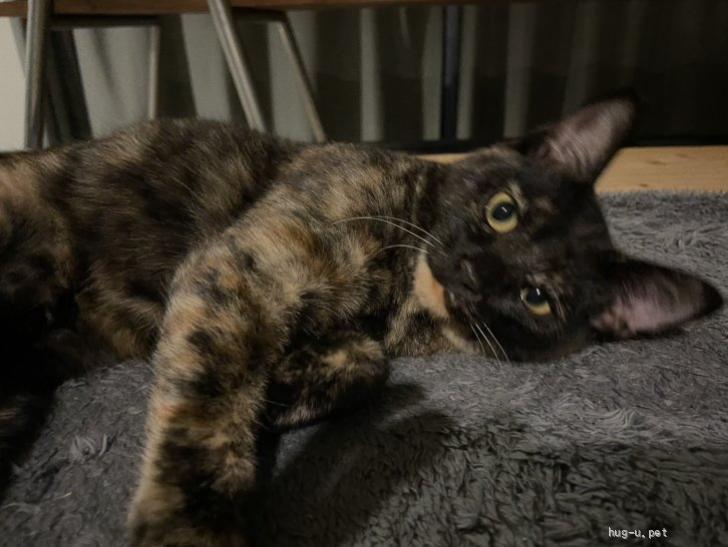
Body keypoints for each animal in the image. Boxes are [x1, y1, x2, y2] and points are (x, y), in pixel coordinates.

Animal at [0, 95, 721, 546]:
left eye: (538, 296)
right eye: (503, 211)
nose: (471, 270)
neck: (394, 297)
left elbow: (365, 366)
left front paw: (280, 396)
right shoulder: (239, 268)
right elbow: (206, 410)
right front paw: (190, 524)